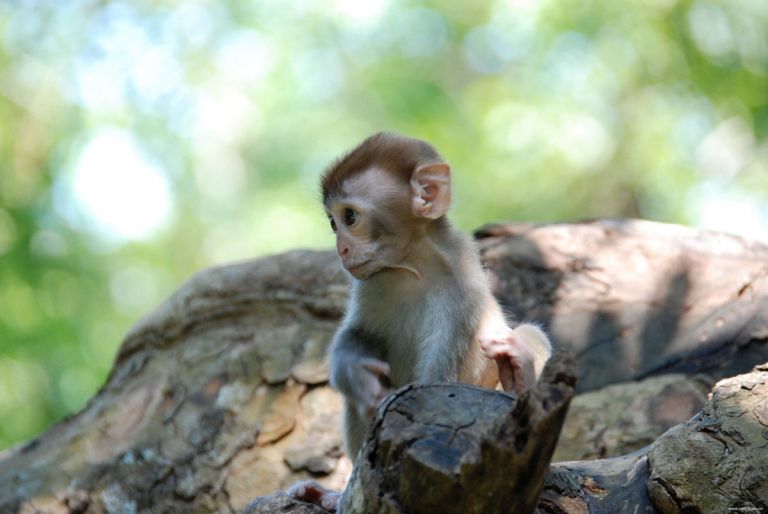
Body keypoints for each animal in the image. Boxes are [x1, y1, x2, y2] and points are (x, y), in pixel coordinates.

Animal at [290, 132, 552, 508]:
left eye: (350, 217)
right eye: (332, 222)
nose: (341, 249)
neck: (410, 266)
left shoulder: (461, 292)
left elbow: (438, 379)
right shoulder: (371, 283)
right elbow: (358, 334)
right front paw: (354, 370)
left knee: (530, 335)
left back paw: (520, 376)